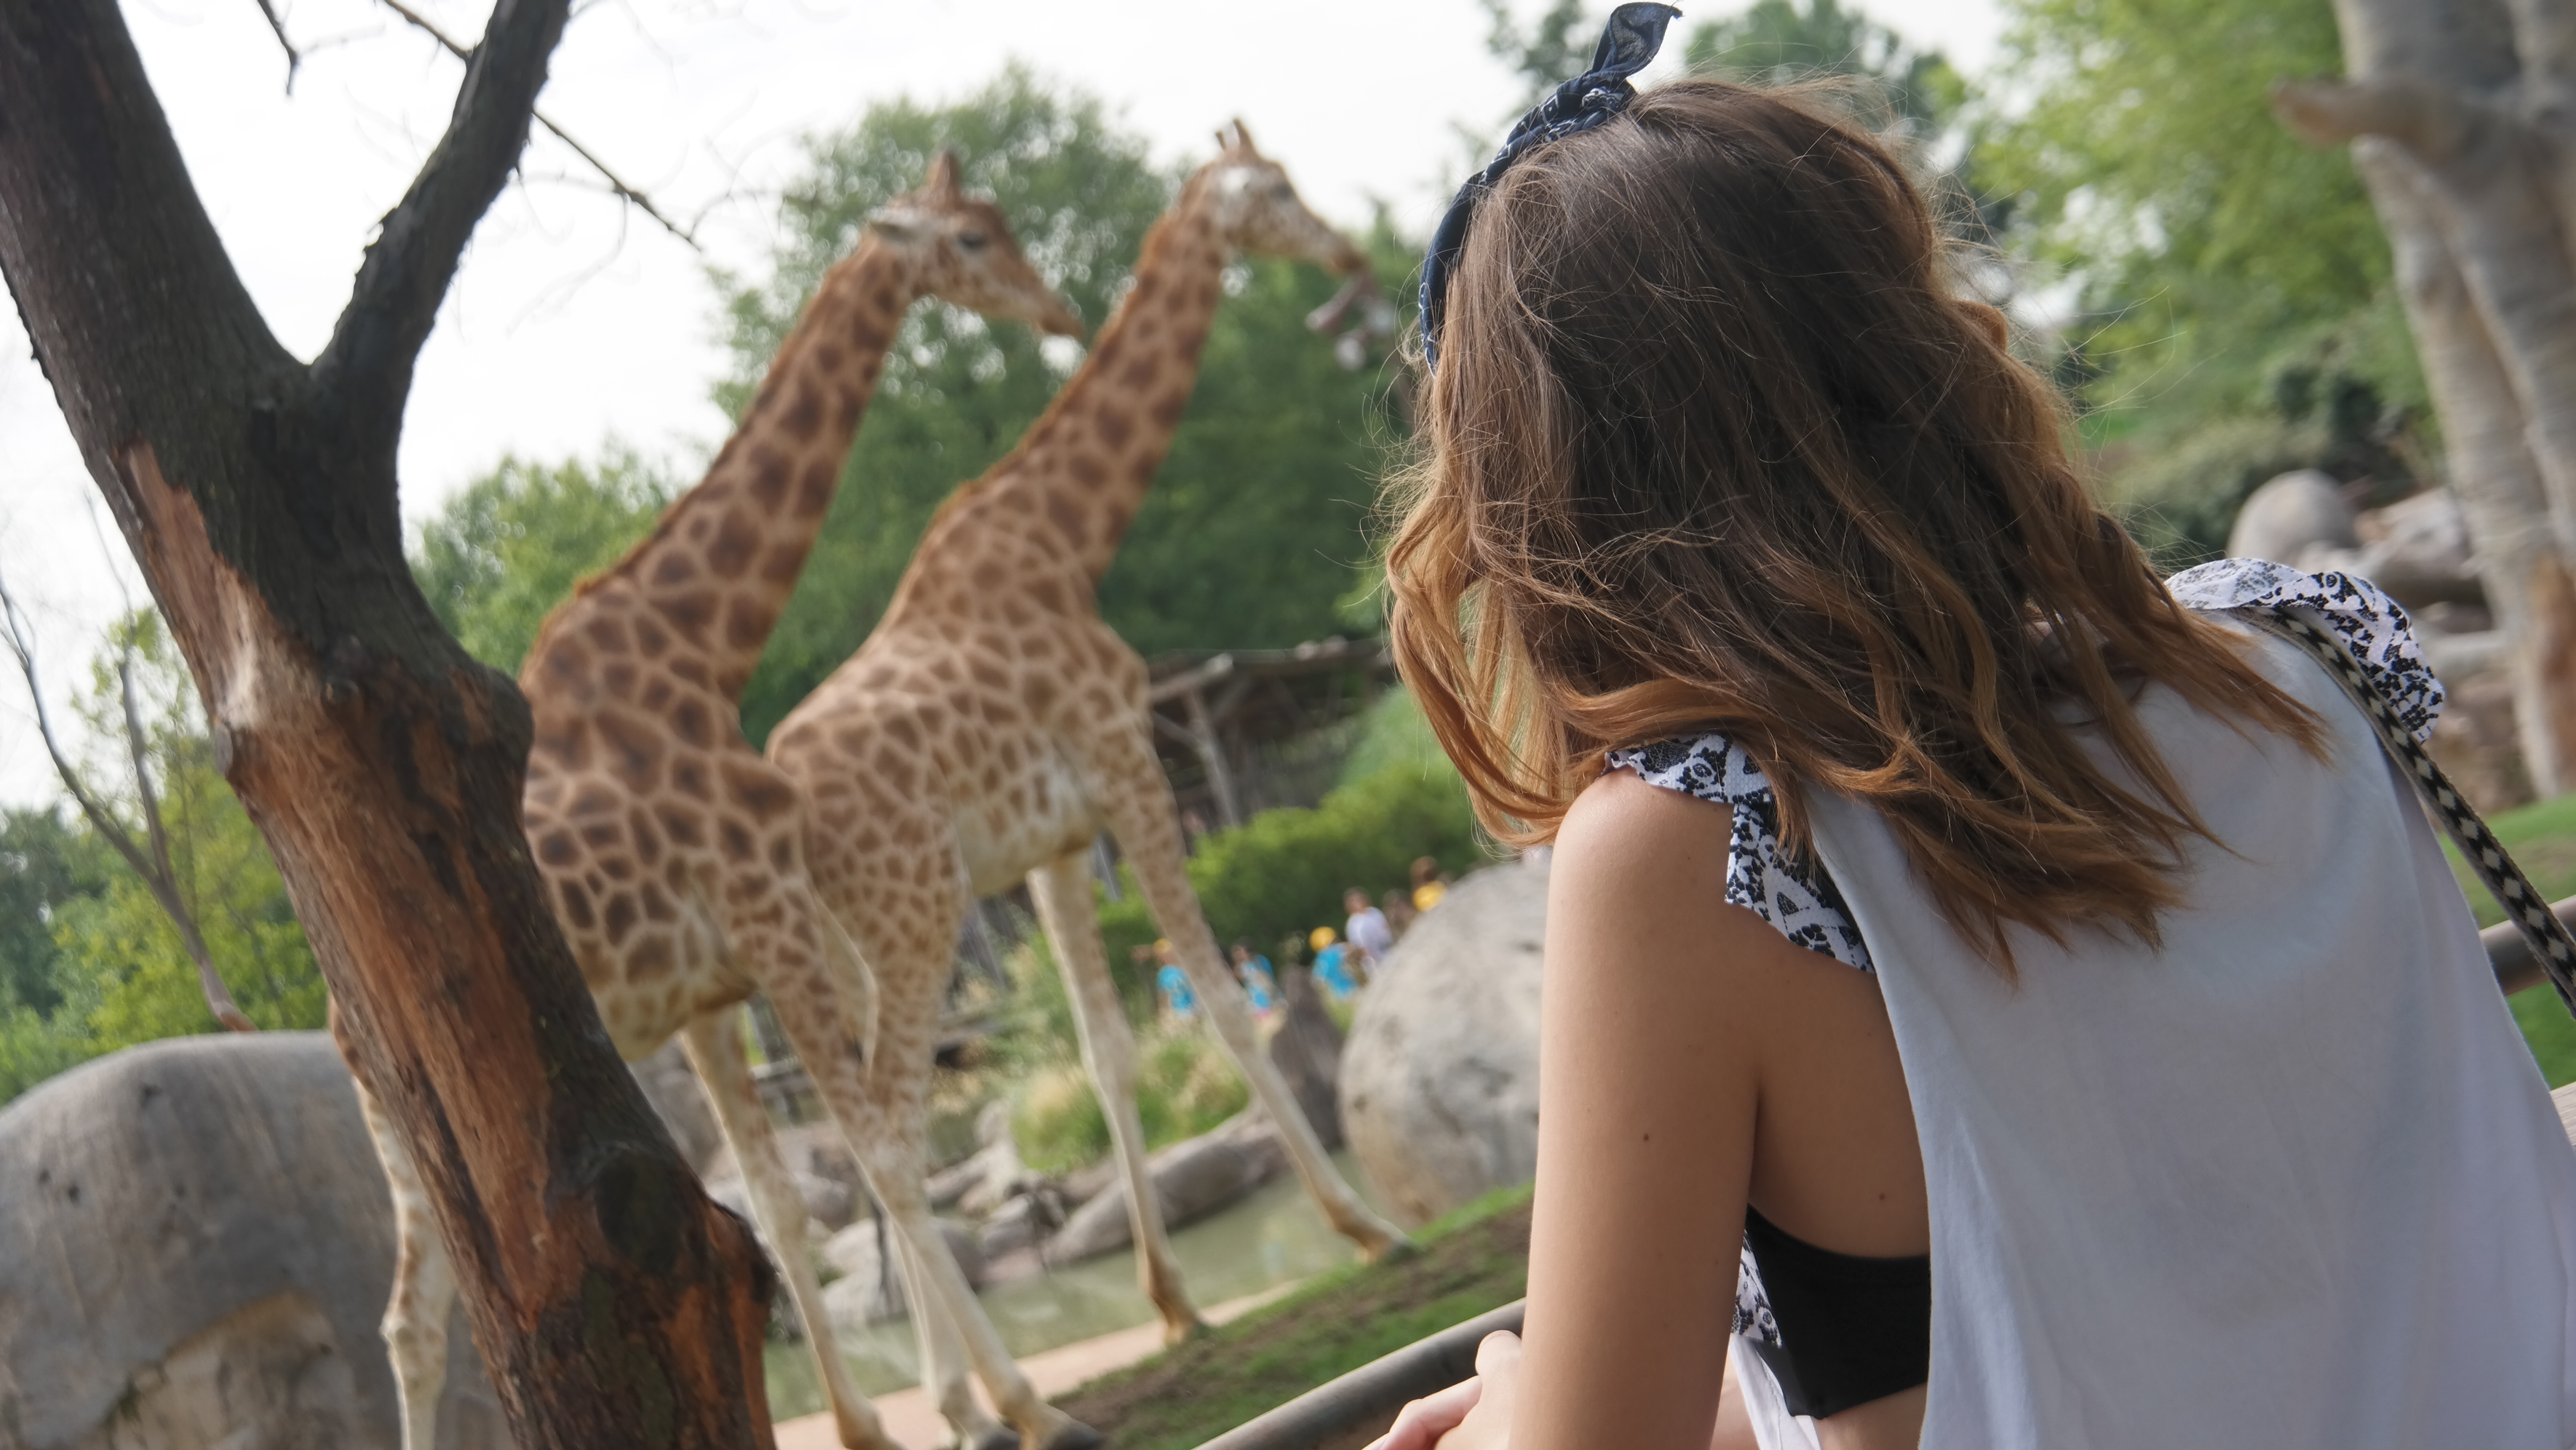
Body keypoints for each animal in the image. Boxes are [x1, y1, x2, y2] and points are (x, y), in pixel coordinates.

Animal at [348, 152, 1080, 1450]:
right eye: (971, 240)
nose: (1055, 312)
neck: (706, 650)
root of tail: (335, 1016)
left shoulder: (716, 990)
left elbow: (782, 1210)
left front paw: (881, 1418)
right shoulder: (771, 923)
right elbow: (878, 1153)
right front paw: (1018, 1404)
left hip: (410, 1131)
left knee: (414, 1320)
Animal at [765, 122, 1416, 1450]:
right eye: (1271, 191)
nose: (1341, 249)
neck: (1069, 535)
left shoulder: (1057, 843)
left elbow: (1110, 1047)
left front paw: (1174, 1302)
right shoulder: (1128, 763)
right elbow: (1220, 999)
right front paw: (1369, 1225)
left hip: (849, 948)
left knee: (868, 1143)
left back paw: (960, 1397)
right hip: (915, 916)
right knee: (890, 1135)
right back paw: (1017, 1404)